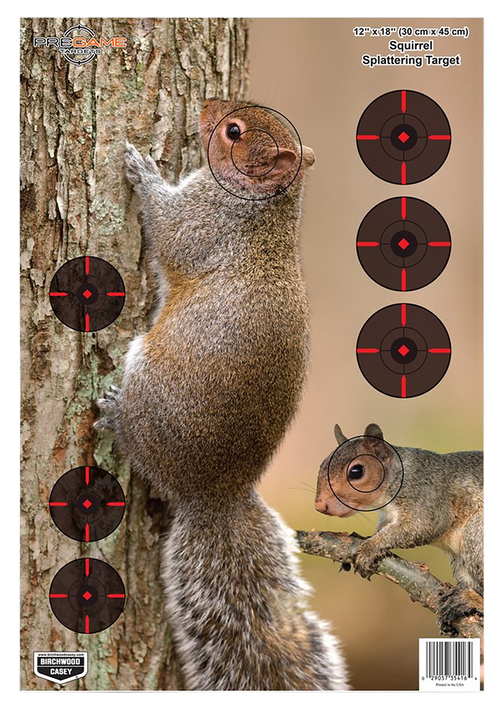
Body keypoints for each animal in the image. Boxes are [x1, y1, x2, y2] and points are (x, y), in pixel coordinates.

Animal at [96, 99, 348, 691]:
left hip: (150, 387)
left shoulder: (203, 223)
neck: (265, 208)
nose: (207, 108)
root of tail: (215, 492)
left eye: (234, 131)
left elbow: (167, 230)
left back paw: (114, 416)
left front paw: (143, 170)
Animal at [315, 423, 484, 634]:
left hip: (476, 534)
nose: (320, 505)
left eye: (356, 472)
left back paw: (472, 601)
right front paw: (362, 539)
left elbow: (422, 526)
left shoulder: (428, 497)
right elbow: (383, 529)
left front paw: (369, 548)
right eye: (322, 465)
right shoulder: (387, 517)